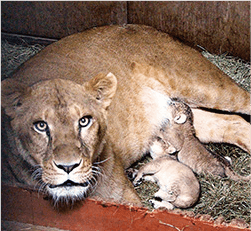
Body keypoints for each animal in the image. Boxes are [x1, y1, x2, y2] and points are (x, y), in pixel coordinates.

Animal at [0, 24, 250, 206]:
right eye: (41, 126)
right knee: (235, 123)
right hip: (174, 115)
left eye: (84, 121)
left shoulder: (124, 198)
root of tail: (145, 26)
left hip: (201, 86)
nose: (68, 167)